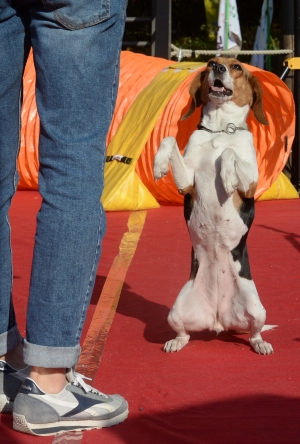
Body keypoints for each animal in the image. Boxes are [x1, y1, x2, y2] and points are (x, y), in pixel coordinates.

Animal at [155, 57, 276, 356]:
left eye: (237, 67)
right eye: (211, 62)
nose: (217, 68)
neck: (221, 129)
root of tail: (219, 318)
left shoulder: (251, 184)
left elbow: (229, 154)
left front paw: (227, 176)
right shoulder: (186, 182)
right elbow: (169, 139)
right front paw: (159, 165)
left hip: (256, 306)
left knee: (254, 332)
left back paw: (261, 344)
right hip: (176, 309)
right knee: (184, 333)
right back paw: (176, 342)